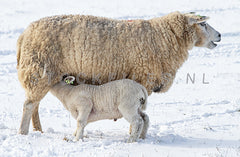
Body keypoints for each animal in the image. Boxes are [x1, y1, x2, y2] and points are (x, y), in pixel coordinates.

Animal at [16, 11, 221, 134]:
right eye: (202, 25)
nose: (219, 35)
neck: (164, 38)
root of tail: (25, 33)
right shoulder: (141, 78)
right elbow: (138, 113)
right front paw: (133, 134)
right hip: (39, 71)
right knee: (28, 105)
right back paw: (24, 132)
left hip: (40, 74)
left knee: (35, 105)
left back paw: (39, 130)